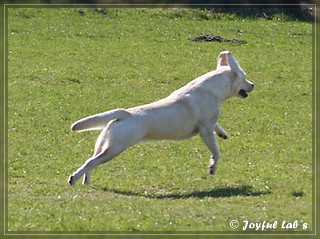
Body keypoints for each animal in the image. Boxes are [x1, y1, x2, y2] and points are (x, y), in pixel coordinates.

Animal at [68, 50, 255, 186]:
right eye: (245, 77)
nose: (253, 85)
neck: (212, 89)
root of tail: (124, 113)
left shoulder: (210, 125)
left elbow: (217, 126)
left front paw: (223, 133)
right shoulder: (205, 131)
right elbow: (216, 152)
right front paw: (212, 167)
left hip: (103, 145)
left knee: (91, 162)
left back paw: (86, 182)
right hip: (114, 149)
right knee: (90, 162)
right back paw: (73, 179)